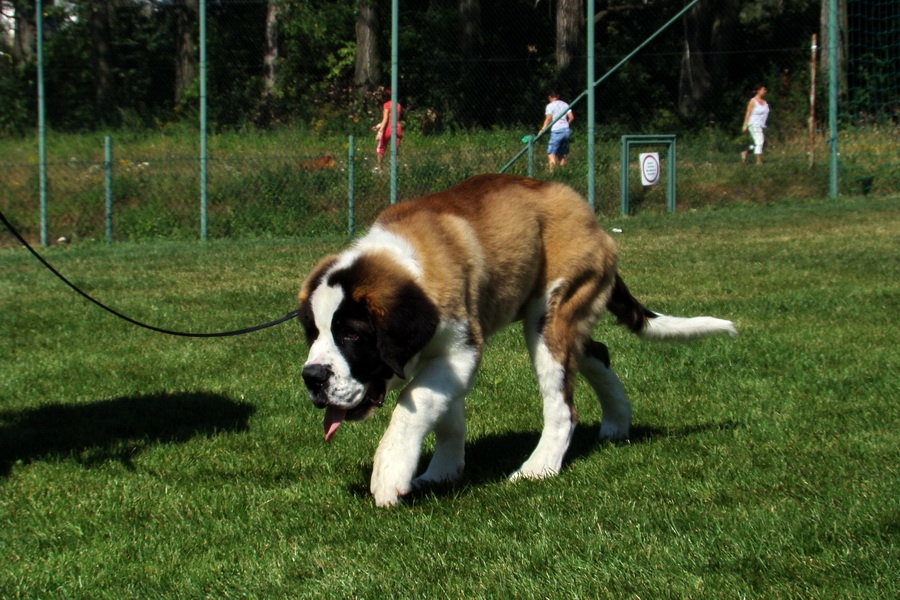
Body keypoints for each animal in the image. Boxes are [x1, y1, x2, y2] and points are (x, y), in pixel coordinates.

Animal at [298, 173, 736, 506]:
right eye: (313, 332)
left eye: (353, 335)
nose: (312, 377)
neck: (410, 266)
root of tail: (587, 213)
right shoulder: (444, 360)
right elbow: (445, 416)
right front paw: (442, 472)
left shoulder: (460, 352)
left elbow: (412, 402)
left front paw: (390, 472)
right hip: (565, 321)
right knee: (597, 352)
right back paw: (616, 423)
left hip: (550, 316)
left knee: (563, 406)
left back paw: (539, 467)